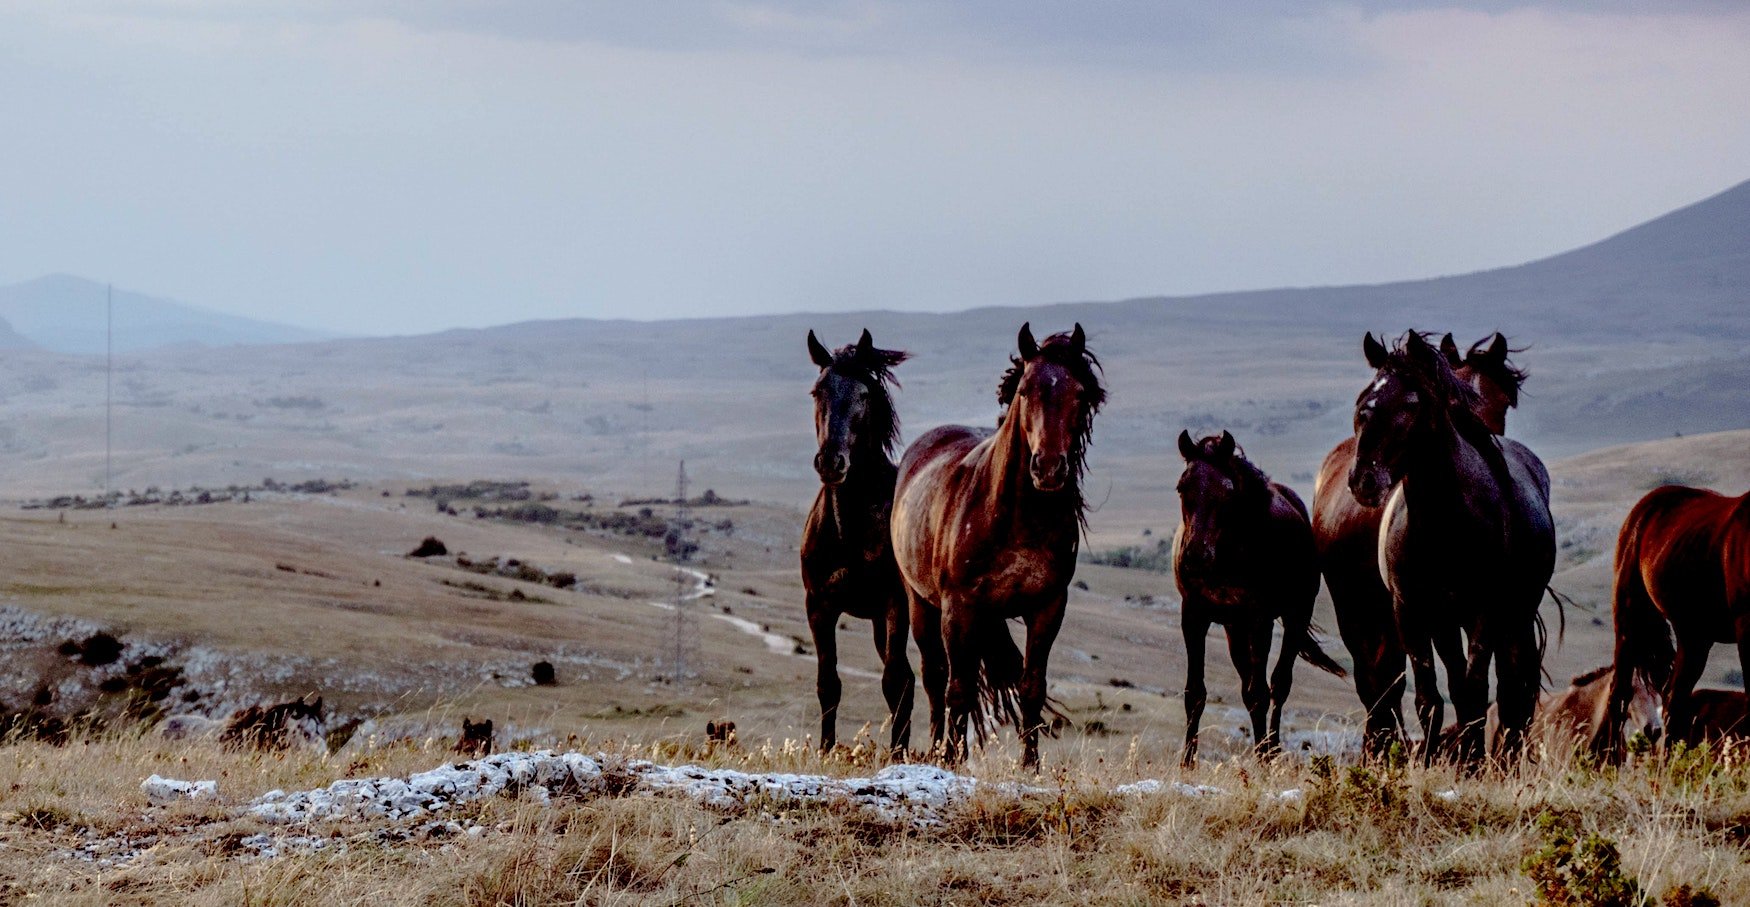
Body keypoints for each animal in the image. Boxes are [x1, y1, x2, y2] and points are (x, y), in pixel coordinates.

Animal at [800, 329, 916, 755]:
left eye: (865, 395)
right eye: (818, 391)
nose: (831, 462)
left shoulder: (895, 605)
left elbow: (893, 682)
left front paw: (899, 757)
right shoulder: (819, 606)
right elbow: (828, 684)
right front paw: (825, 750)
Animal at [892, 323, 1103, 768]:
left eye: (1080, 393)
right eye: (1024, 389)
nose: (1049, 468)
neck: (1016, 520)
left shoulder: (1048, 607)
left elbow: (1032, 686)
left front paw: (1030, 765)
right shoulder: (959, 606)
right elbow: (956, 687)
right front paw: (951, 759)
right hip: (921, 603)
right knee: (936, 677)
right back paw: (937, 748)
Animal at [1173, 430, 1346, 765]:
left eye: (1227, 492)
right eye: (1182, 487)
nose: (1196, 556)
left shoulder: (1260, 618)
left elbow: (1260, 693)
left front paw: (1265, 758)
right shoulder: (1194, 616)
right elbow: (1195, 692)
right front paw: (1187, 762)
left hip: (1294, 616)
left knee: (1278, 685)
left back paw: (1272, 750)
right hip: (1234, 629)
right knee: (1250, 685)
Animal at [1312, 333, 1527, 756]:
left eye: (1412, 404)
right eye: (1362, 400)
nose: (1365, 479)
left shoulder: (1480, 611)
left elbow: (1471, 689)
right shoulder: (1412, 611)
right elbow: (1431, 695)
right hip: (1358, 611)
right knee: (1377, 686)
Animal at [1597, 484, 1750, 757]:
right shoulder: (1745, 625)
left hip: (1694, 636)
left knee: (1673, 698)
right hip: (1628, 620)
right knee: (1620, 694)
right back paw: (1609, 761)